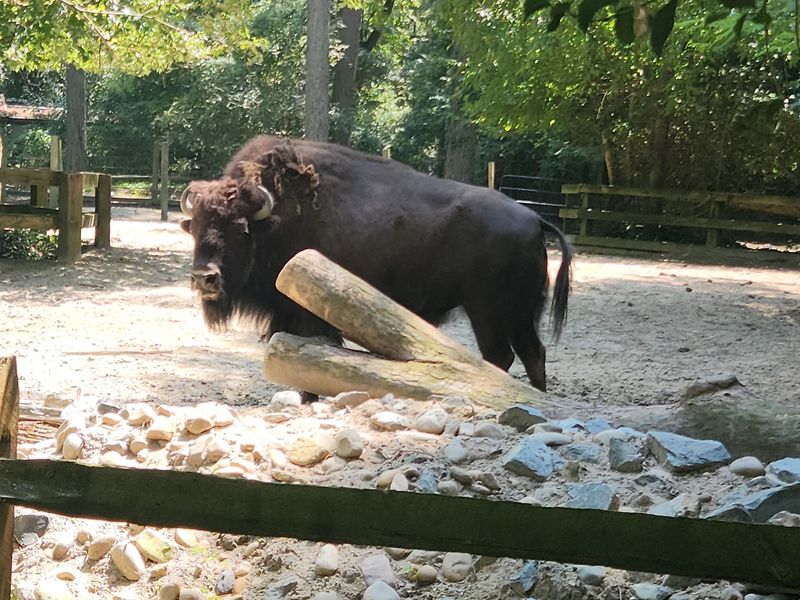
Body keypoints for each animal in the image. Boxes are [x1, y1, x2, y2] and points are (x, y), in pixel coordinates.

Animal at [180, 135, 572, 394]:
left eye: (240, 228)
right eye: (195, 226)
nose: (204, 278)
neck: (277, 220)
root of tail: (534, 218)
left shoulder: (309, 315)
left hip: (491, 312)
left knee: (503, 355)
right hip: (517, 314)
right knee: (531, 353)